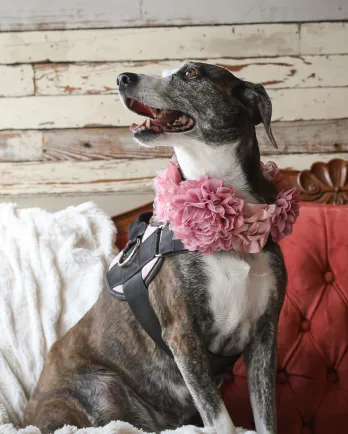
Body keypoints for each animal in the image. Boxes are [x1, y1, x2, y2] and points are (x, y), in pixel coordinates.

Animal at [23, 62, 286, 434]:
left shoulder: (264, 335)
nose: (123, 77)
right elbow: (221, 419)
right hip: (98, 387)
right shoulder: (183, 334)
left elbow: (266, 417)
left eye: (191, 74)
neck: (228, 223)